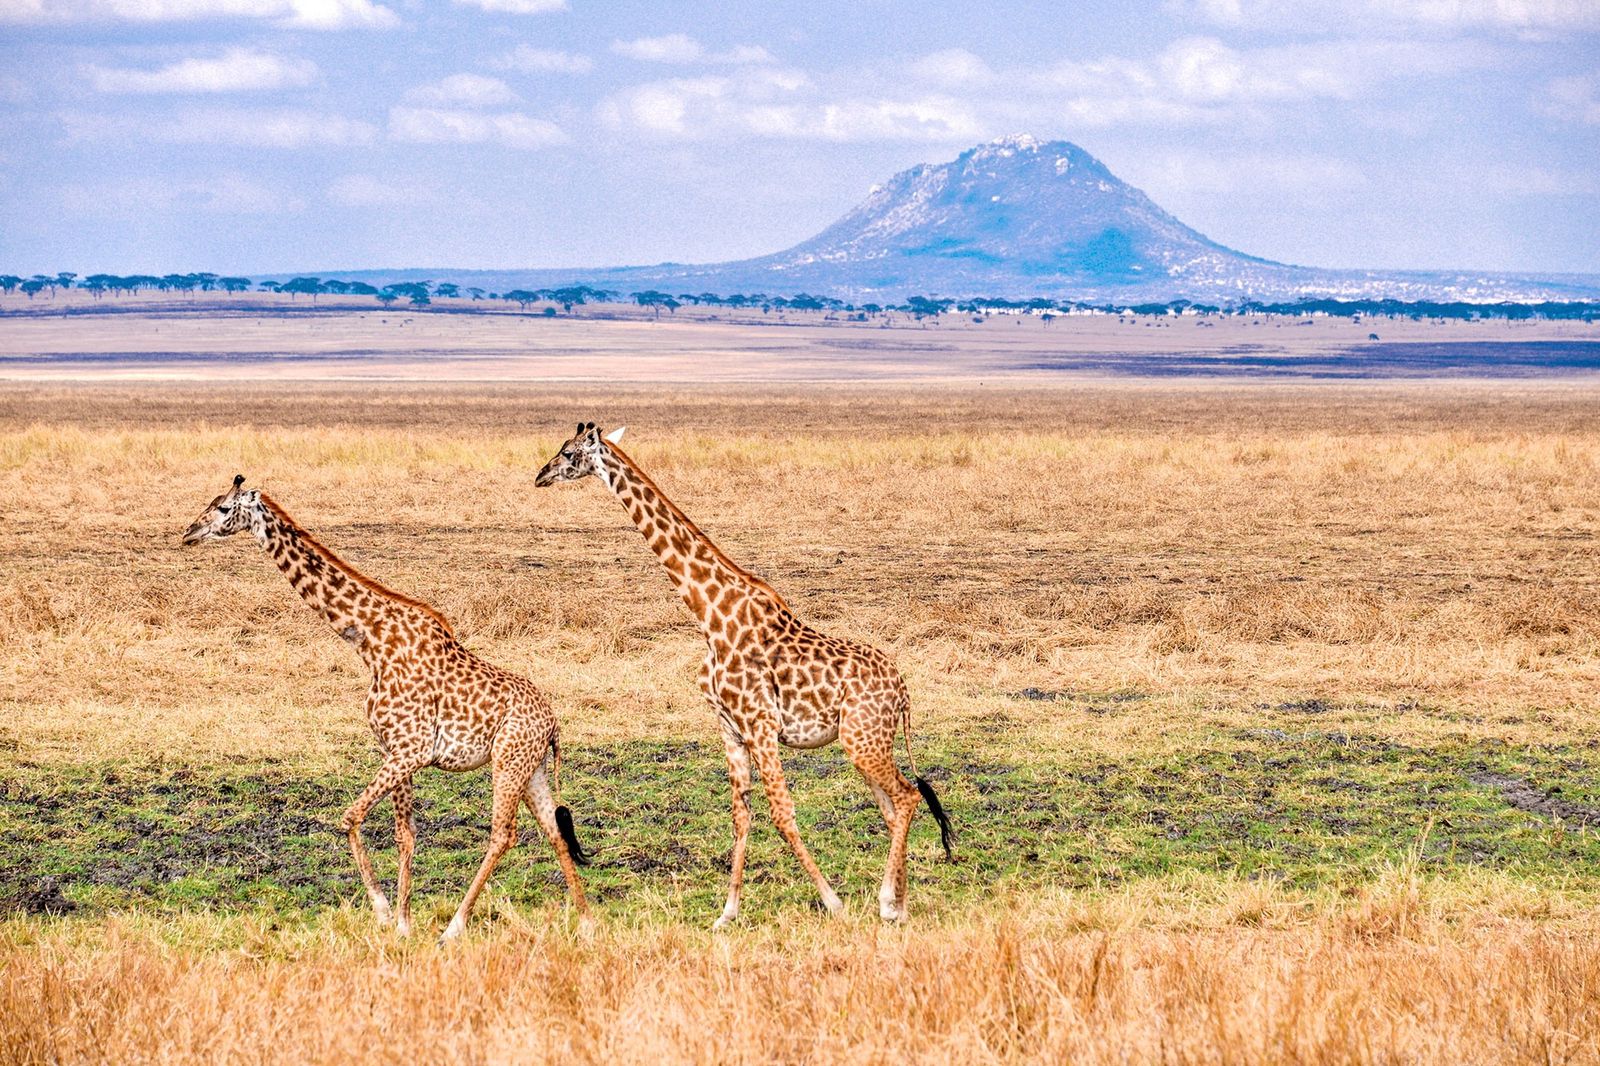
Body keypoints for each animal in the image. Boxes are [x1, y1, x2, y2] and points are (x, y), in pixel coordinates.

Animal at [183, 473, 595, 941]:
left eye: (222, 508)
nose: (189, 533)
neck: (372, 642)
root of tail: (554, 723)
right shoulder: (395, 750)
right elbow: (405, 835)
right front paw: (402, 922)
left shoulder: (410, 750)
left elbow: (349, 817)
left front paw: (382, 910)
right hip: (531, 767)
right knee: (554, 832)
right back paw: (586, 923)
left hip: (508, 762)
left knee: (503, 834)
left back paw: (454, 928)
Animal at [534, 422, 947, 921]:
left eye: (568, 453)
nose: (539, 475)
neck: (710, 616)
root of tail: (904, 691)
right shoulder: (730, 729)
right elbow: (741, 815)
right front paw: (727, 912)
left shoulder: (761, 725)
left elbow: (782, 814)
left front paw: (833, 902)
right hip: (865, 741)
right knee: (893, 806)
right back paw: (898, 903)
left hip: (862, 738)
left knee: (906, 798)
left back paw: (889, 902)